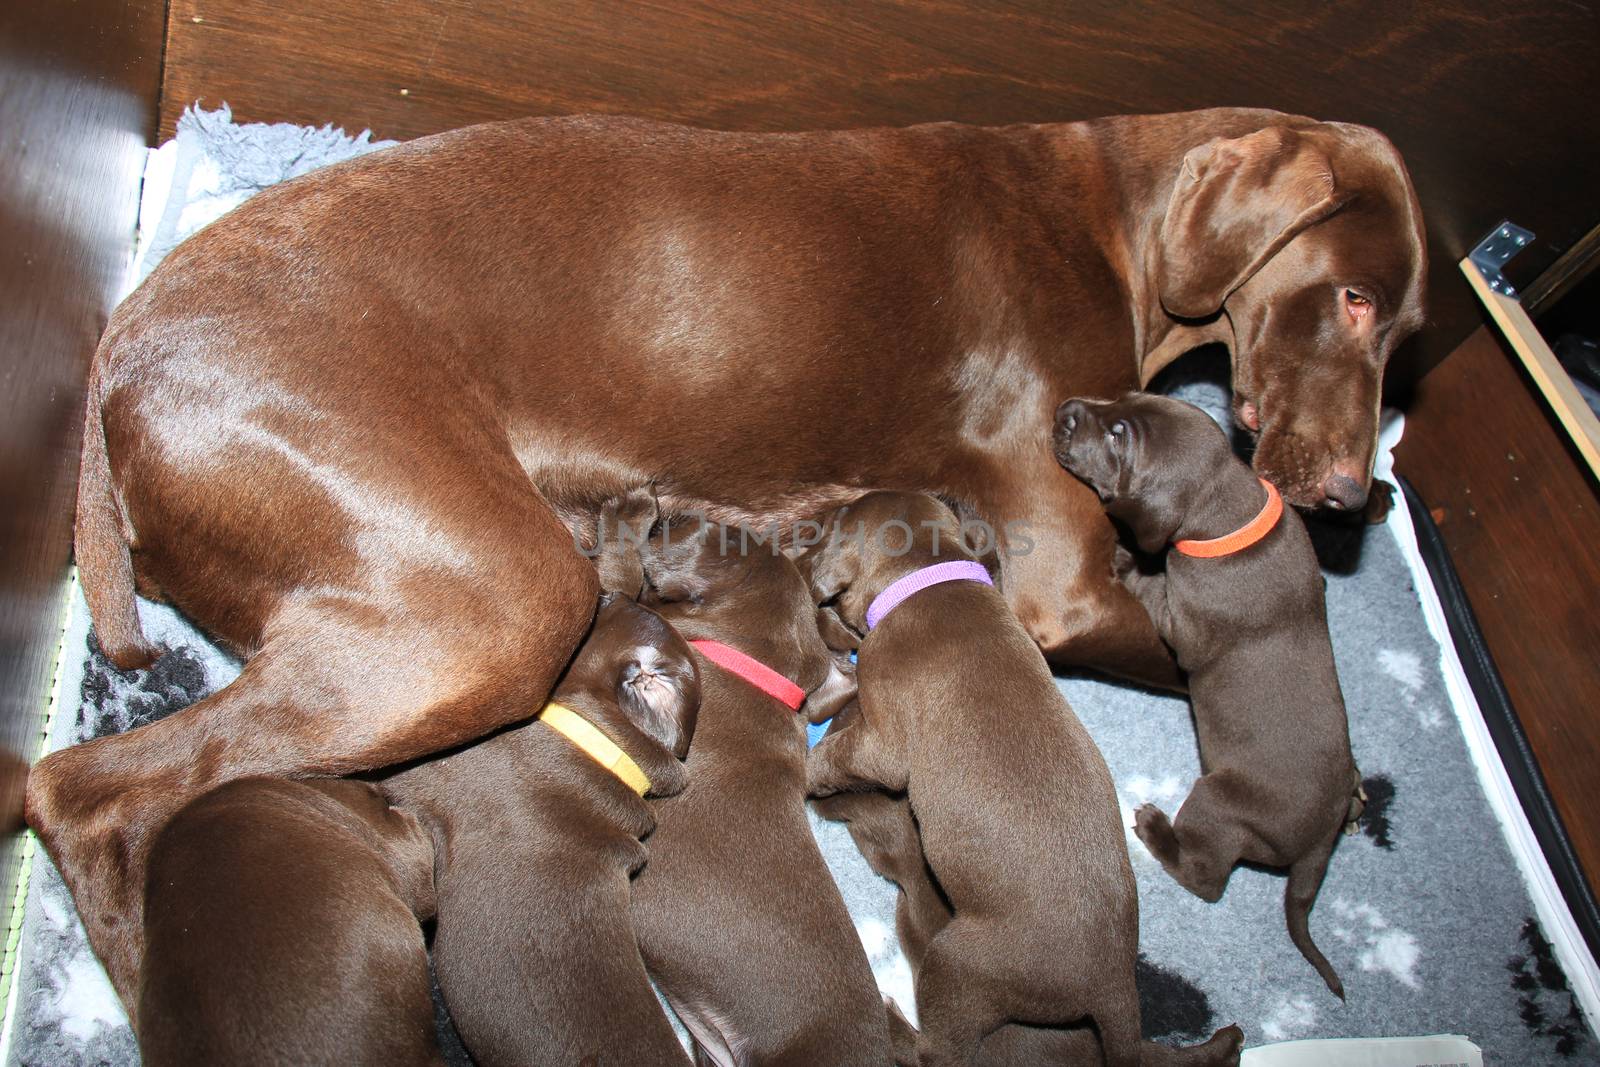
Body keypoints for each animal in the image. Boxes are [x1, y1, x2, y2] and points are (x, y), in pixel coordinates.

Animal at [796, 489, 1235, 1067]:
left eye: (830, 524)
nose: (801, 534)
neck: (932, 578)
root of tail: (1111, 985)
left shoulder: (882, 741)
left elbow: (839, 755)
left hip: (956, 962)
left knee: (936, 1050)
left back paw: (891, 1021)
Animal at [1056, 395, 1369, 1004]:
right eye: (1120, 403)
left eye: (1119, 433)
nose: (1065, 410)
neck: (1232, 507)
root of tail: (1318, 840)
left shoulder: (1186, 621)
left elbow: (1156, 590)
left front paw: (1127, 559)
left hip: (1218, 802)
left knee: (1208, 880)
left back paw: (1157, 831)